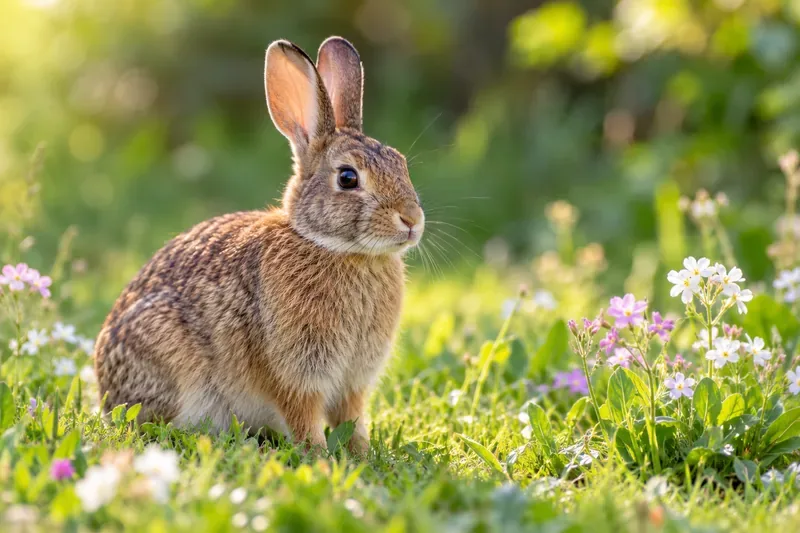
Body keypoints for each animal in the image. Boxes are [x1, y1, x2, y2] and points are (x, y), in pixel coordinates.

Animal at [93, 36, 424, 454]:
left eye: (400, 163)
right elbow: (302, 415)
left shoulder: (353, 380)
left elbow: (351, 418)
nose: (412, 220)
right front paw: (319, 455)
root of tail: (105, 393)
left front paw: (362, 453)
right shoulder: (293, 371)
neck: (339, 249)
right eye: (348, 178)